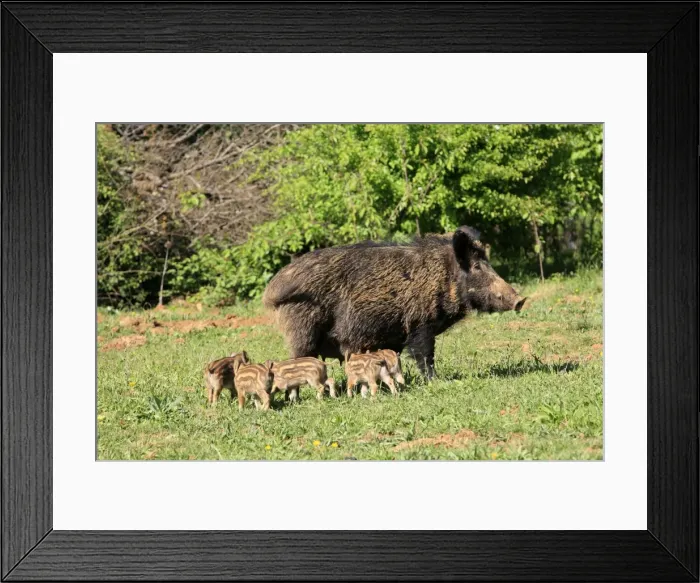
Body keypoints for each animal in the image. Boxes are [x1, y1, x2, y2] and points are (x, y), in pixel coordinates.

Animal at [262, 226, 526, 378]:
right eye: (477, 266)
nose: (520, 299)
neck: (444, 276)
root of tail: (272, 290)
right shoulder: (420, 324)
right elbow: (425, 355)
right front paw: (435, 381)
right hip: (302, 330)